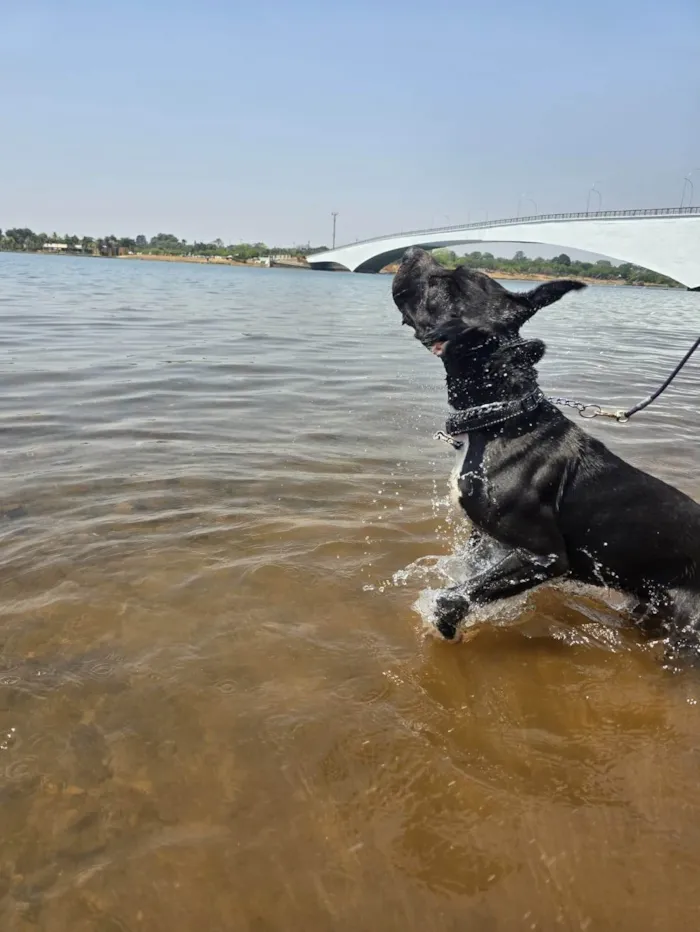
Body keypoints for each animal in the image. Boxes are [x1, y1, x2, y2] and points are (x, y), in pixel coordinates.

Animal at [394, 244, 700, 660]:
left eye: (446, 282)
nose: (411, 250)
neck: (501, 416)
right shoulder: (486, 542)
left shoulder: (546, 557)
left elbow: (454, 597)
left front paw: (446, 626)